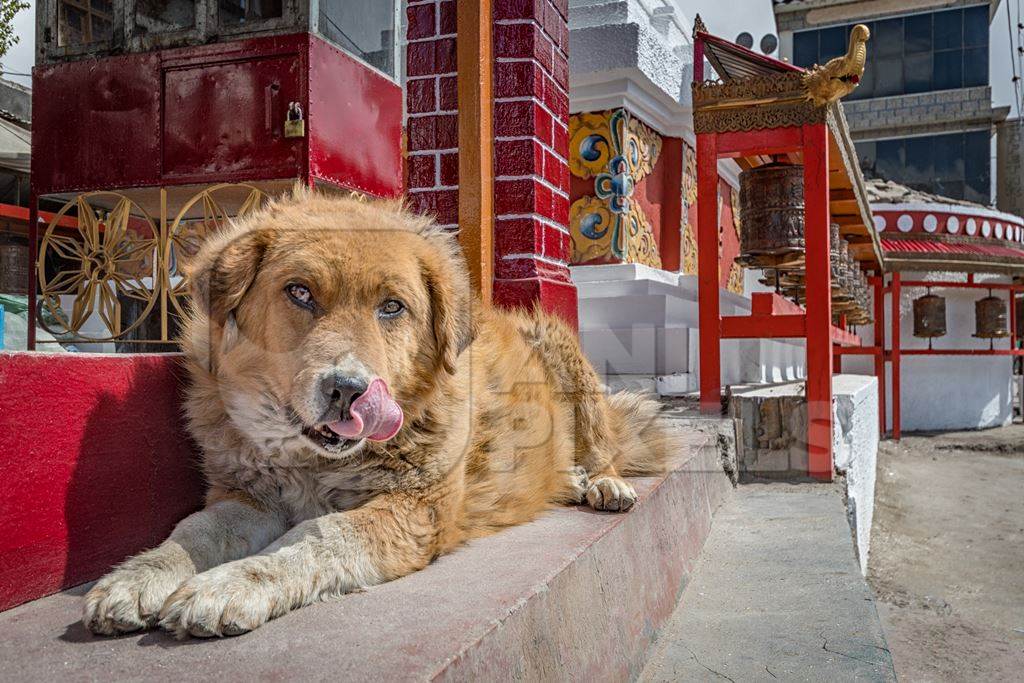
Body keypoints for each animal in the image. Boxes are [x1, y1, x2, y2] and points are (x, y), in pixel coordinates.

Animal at [79, 189, 679, 638]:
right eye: (299, 293)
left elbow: (317, 535)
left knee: (602, 443)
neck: (311, 463)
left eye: (392, 307)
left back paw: (601, 482)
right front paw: (141, 573)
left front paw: (233, 583)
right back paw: (570, 478)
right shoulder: (247, 497)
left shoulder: (414, 510)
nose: (349, 390)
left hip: (561, 351)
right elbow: (196, 528)